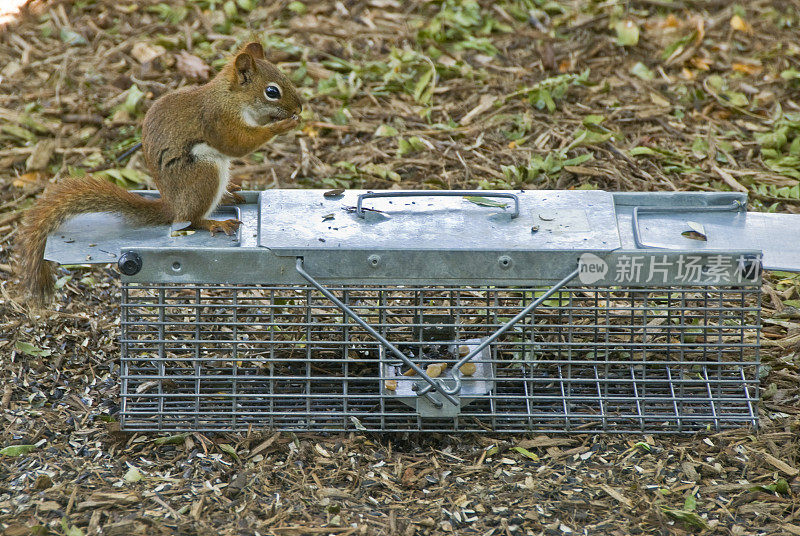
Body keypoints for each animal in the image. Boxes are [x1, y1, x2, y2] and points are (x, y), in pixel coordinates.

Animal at [18, 42, 302, 306]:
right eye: (272, 92)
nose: (299, 107)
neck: (231, 97)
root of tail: (171, 204)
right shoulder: (218, 119)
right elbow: (237, 144)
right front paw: (281, 126)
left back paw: (229, 196)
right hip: (205, 173)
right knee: (190, 219)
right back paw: (214, 222)